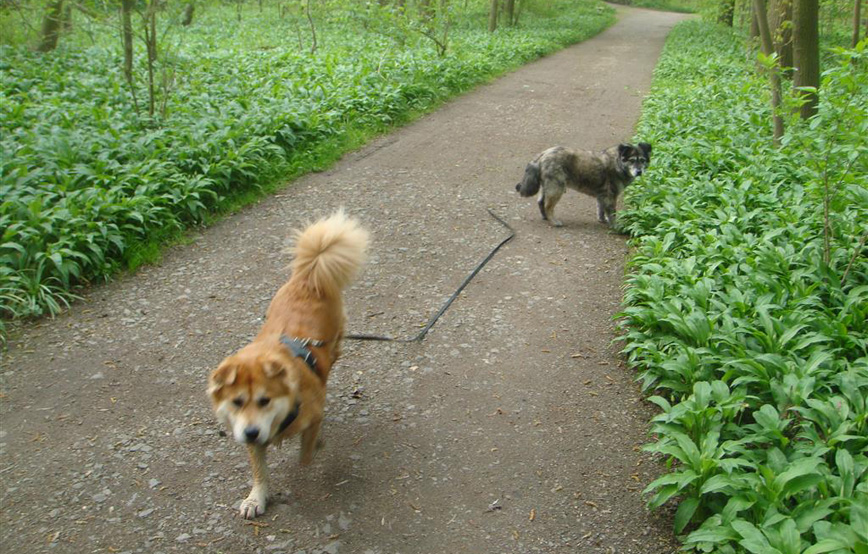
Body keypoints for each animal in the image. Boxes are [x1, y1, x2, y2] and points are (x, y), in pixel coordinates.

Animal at [209, 209, 368, 516]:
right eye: (236, 402)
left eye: (265, 400)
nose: (251, 432)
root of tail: (310, 275)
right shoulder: (250, 435)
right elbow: (259, 470)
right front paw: (256, 498)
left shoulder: (313, 414)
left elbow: (306, 452)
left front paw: (315, 444)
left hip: (336, 338)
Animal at [516, 144, 652, 229]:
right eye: (632, 160)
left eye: (642, 160)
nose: (639, 172)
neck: (617, 163)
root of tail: (543, 154)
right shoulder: (610, 196)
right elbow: (612, 213)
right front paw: (615, 226)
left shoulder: (602, 195)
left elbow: (601, 209)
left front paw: (603, 220)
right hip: (557, 187)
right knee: (548, 206)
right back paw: (554, 221)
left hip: (548, 186)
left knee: (540, 202)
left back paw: (545, 217)